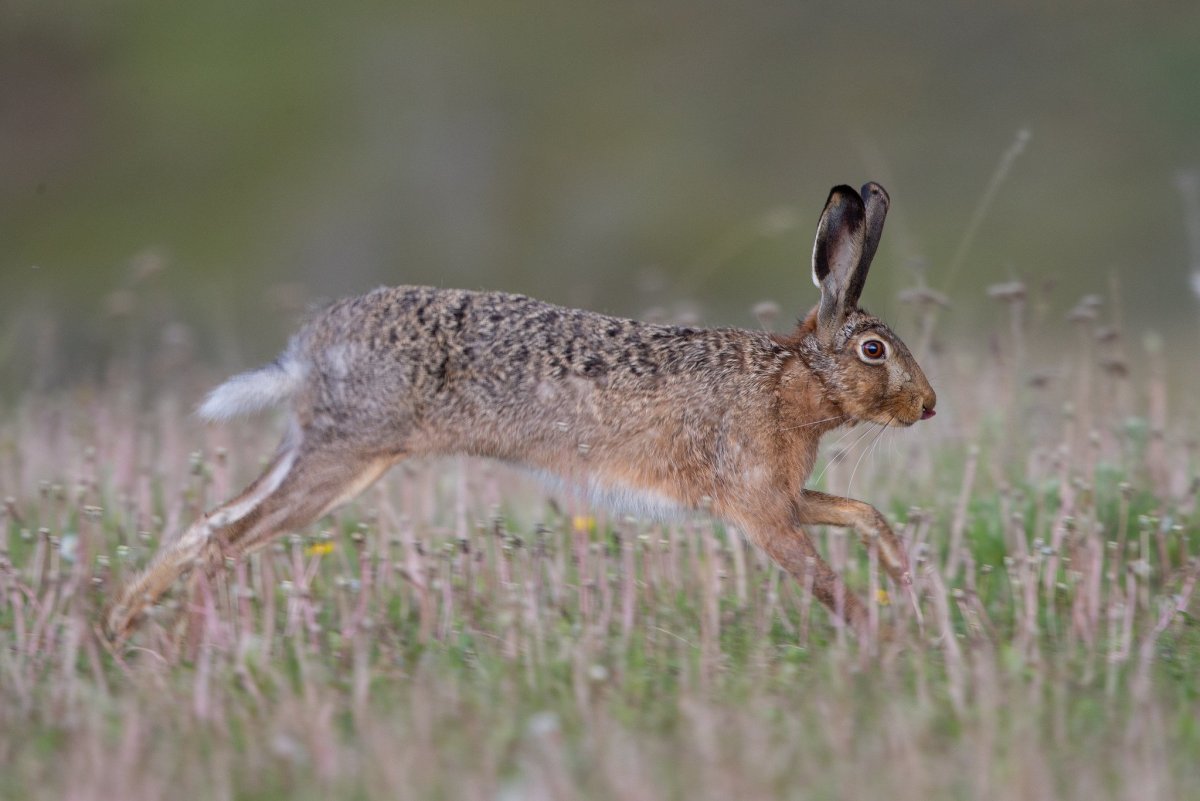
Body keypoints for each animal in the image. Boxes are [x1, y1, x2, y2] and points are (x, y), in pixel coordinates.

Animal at [104, 182, 936, 641]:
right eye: (873, 349)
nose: (928, 405)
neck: (792, 379)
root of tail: (308, 349)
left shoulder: (785, 496)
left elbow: (860, 512)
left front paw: (902, 574)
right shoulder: (761, 508)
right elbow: (822, 581)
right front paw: (888, 638)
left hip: (316, 450)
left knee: (208, 523)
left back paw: (120, 628)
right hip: (345, 454)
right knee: (224, 541)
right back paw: (179, 644)